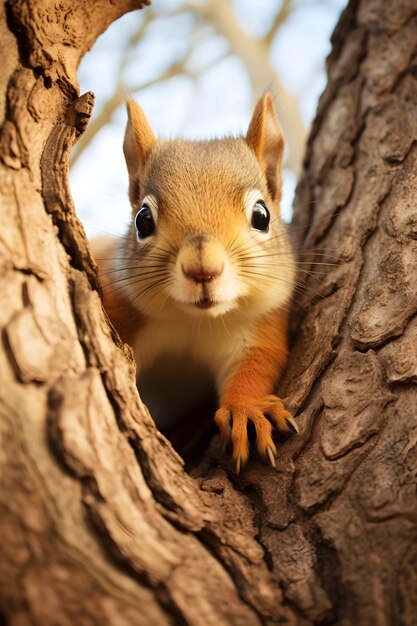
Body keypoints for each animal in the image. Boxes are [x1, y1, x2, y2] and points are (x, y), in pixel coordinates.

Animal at [93, 92, 298, 470]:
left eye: (262, 216)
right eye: (143, 220)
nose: (203, 269)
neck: (193, 322)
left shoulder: (259, 327)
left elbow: (257, 367)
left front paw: (245, 410)